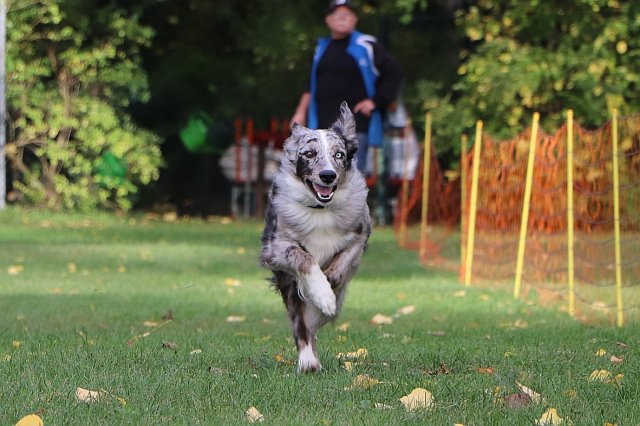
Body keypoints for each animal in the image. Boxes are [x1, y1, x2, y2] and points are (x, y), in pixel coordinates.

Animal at [260, 101, 370, 372]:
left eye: (339, 155)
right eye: (309, 154)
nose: (328, 175)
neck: (320, 210)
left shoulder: (360, 235)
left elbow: (340, 268)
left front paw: (328, 291)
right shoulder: (275, 248)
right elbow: (305, 258)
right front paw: (322, 294)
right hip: (287, 286)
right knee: (301, 324)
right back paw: (308, 360)